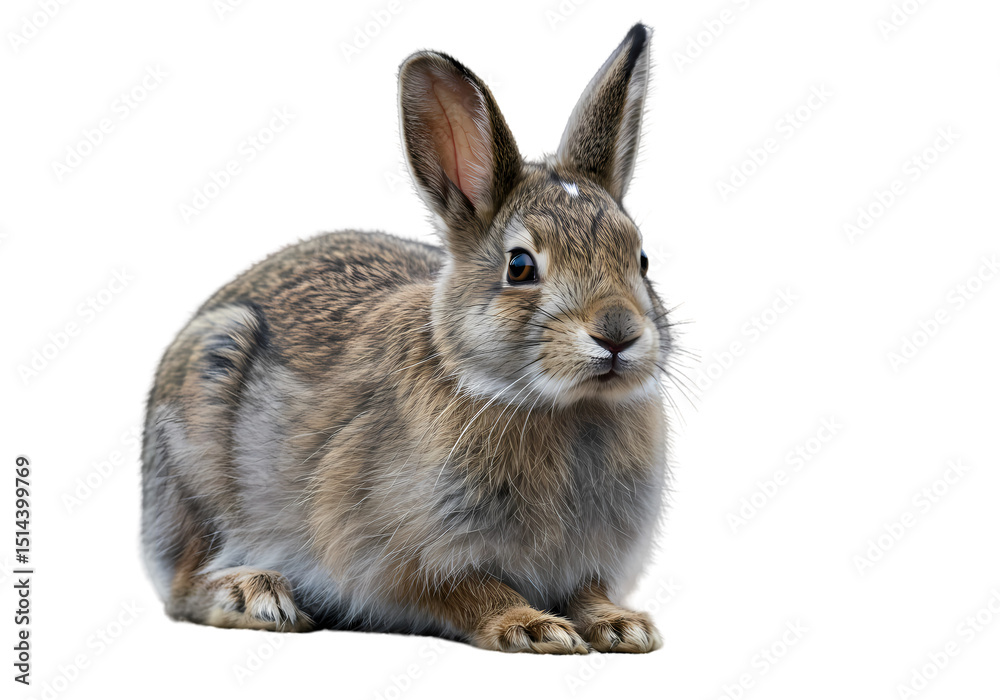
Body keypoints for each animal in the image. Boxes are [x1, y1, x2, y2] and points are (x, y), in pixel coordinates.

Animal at [141, 22, 676, 654]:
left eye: (641, 260)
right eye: (520, 267)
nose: (618, 334)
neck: (556, 406)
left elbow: (588, 592)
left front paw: (623, 625)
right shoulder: (401, 552)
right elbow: (467, 589)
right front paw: (533, 627)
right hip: (197, 458)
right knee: (184, 585)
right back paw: (256, 595)